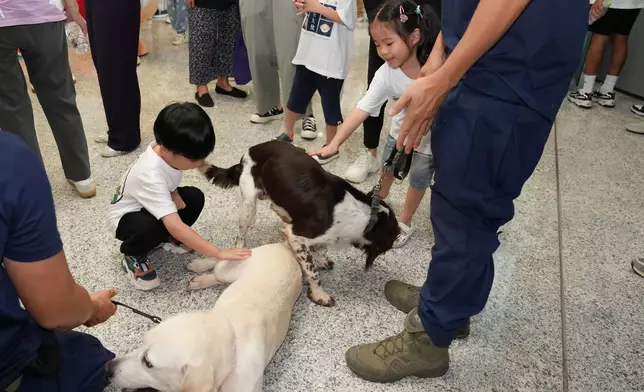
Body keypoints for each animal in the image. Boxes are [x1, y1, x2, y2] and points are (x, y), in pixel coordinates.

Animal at [107, 243, 302, 390]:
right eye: (142, 341)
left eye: (148, 362)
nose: (107, 368)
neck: (232, 342)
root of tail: (285, 247)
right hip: (229, 270)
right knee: (219, 261)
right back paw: (199, 269)